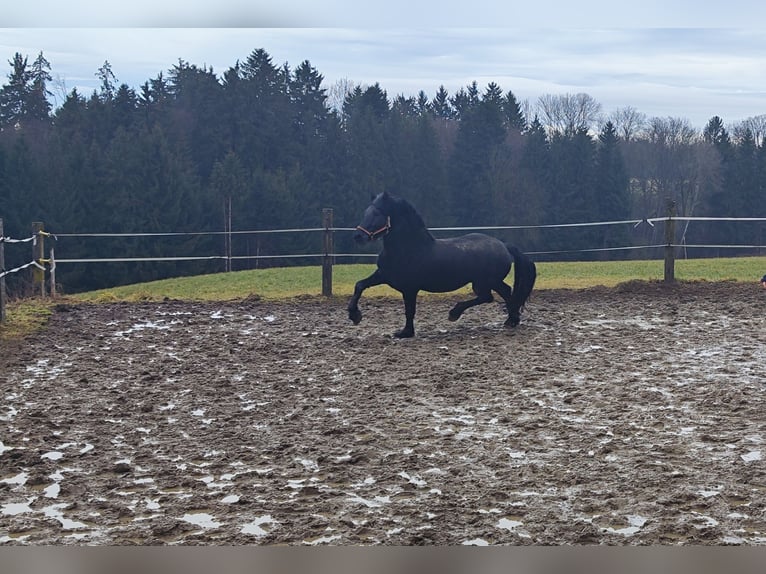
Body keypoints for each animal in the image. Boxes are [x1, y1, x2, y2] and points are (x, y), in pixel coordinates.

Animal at [347, 191, 537, 338]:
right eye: (366, 212)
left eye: (377, 214)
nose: (358, 237)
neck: (409, 248)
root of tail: (504, 245)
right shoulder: (383, 275)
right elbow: (360, 285)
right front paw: (355, 316)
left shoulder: (410, 288)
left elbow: (410, 310)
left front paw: (405, 333)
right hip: (489, 282)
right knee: (505, 292)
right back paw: (511, 320)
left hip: (484, 282)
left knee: (488, 297)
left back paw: (455, 313)